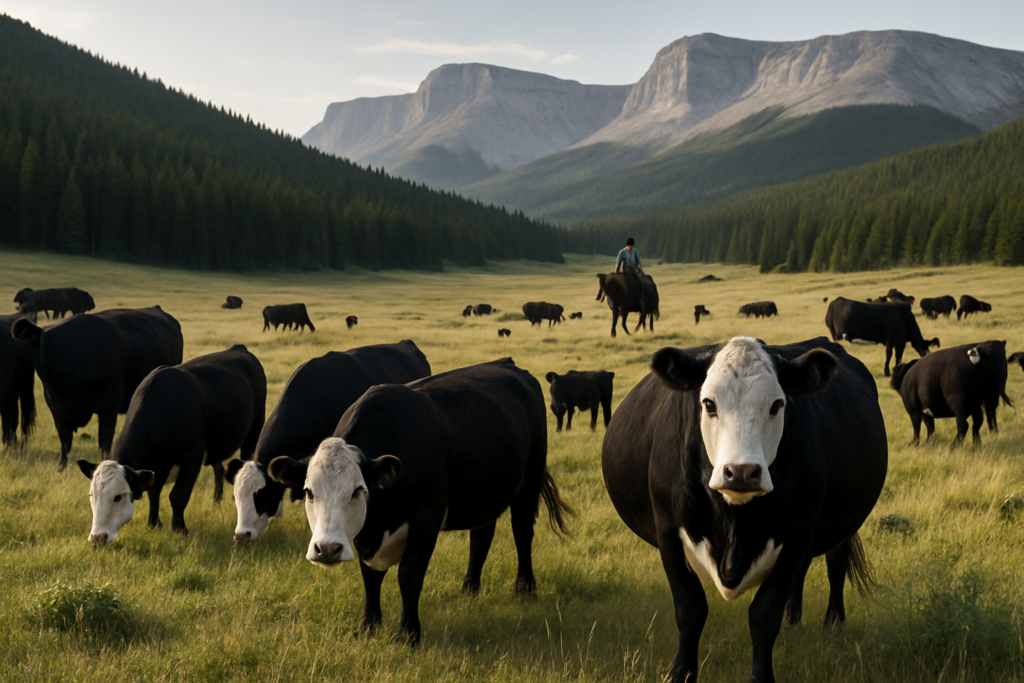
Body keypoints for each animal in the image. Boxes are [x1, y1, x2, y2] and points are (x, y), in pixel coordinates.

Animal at [77, 345, 267, 542]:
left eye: (118, 497)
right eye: (92, 494)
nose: (98, 537)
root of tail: (239, 348)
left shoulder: (192, 459)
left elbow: (177, 496)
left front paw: (179, 529)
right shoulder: (156, 469)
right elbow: (154, 494)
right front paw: (154, 524)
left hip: (254, 430)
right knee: (219, 469)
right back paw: (217, 501)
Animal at [267, 358, 573, 645]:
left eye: (357, 490)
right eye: (309, 492)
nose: (327, 549)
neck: (380, 520)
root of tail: (508, 365)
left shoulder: (426, 520)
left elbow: (409, 576)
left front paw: (408, 634)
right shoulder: (365, 536)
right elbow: (370, 577)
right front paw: (368, 625)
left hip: (530, 479)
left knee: (522, 532)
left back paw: (525, 587)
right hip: (483, 494)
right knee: (481, 536)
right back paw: (469, 587)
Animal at [602, 336, 887, 683]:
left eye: (777, 405)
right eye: (709, 404)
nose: (741, 471)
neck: (733, 522)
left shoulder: (797, 535)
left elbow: (764, 616)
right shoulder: (668, 531)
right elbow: (690, 610)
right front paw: (680, 672)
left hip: (844, 523)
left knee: (836, 562)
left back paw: (833, 621)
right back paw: (794, 617)